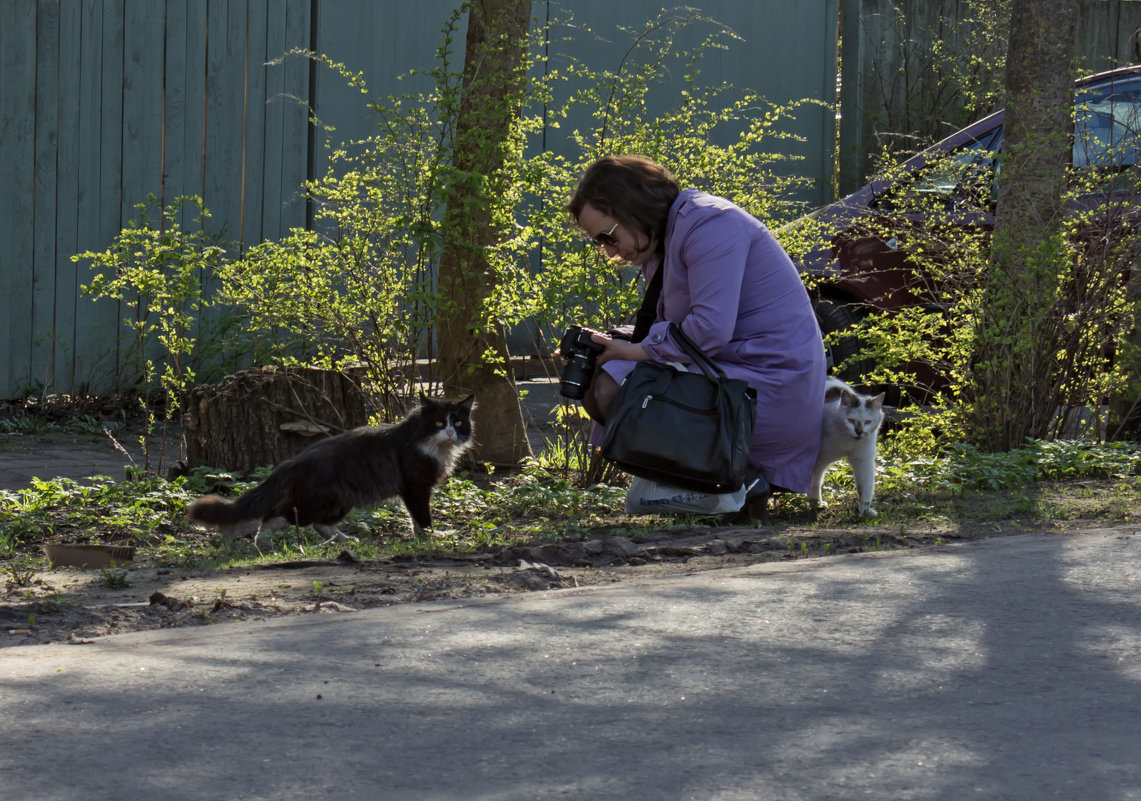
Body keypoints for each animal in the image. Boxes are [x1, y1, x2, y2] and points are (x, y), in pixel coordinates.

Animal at [189, 394, 474, 543]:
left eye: (458, 423)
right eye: (439, 423)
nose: (450, 432)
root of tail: (291, 462)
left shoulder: (413, 490)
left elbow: (414, 518)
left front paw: (420, 535)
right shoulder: (415, 486)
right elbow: (422, 516)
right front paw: (431, 536)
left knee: (307, 520)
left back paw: (342, 540)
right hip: (337, 497)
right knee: (283, 515)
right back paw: (264, 539)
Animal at [807, 378, 885, 520]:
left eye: (868, 422)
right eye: (851, 420)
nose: (859, 432)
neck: (848, 441)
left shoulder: (863, 462)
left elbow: (865, 488)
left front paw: (865, 511)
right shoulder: (818, 461)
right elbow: (815, 483)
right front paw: (815, 503)